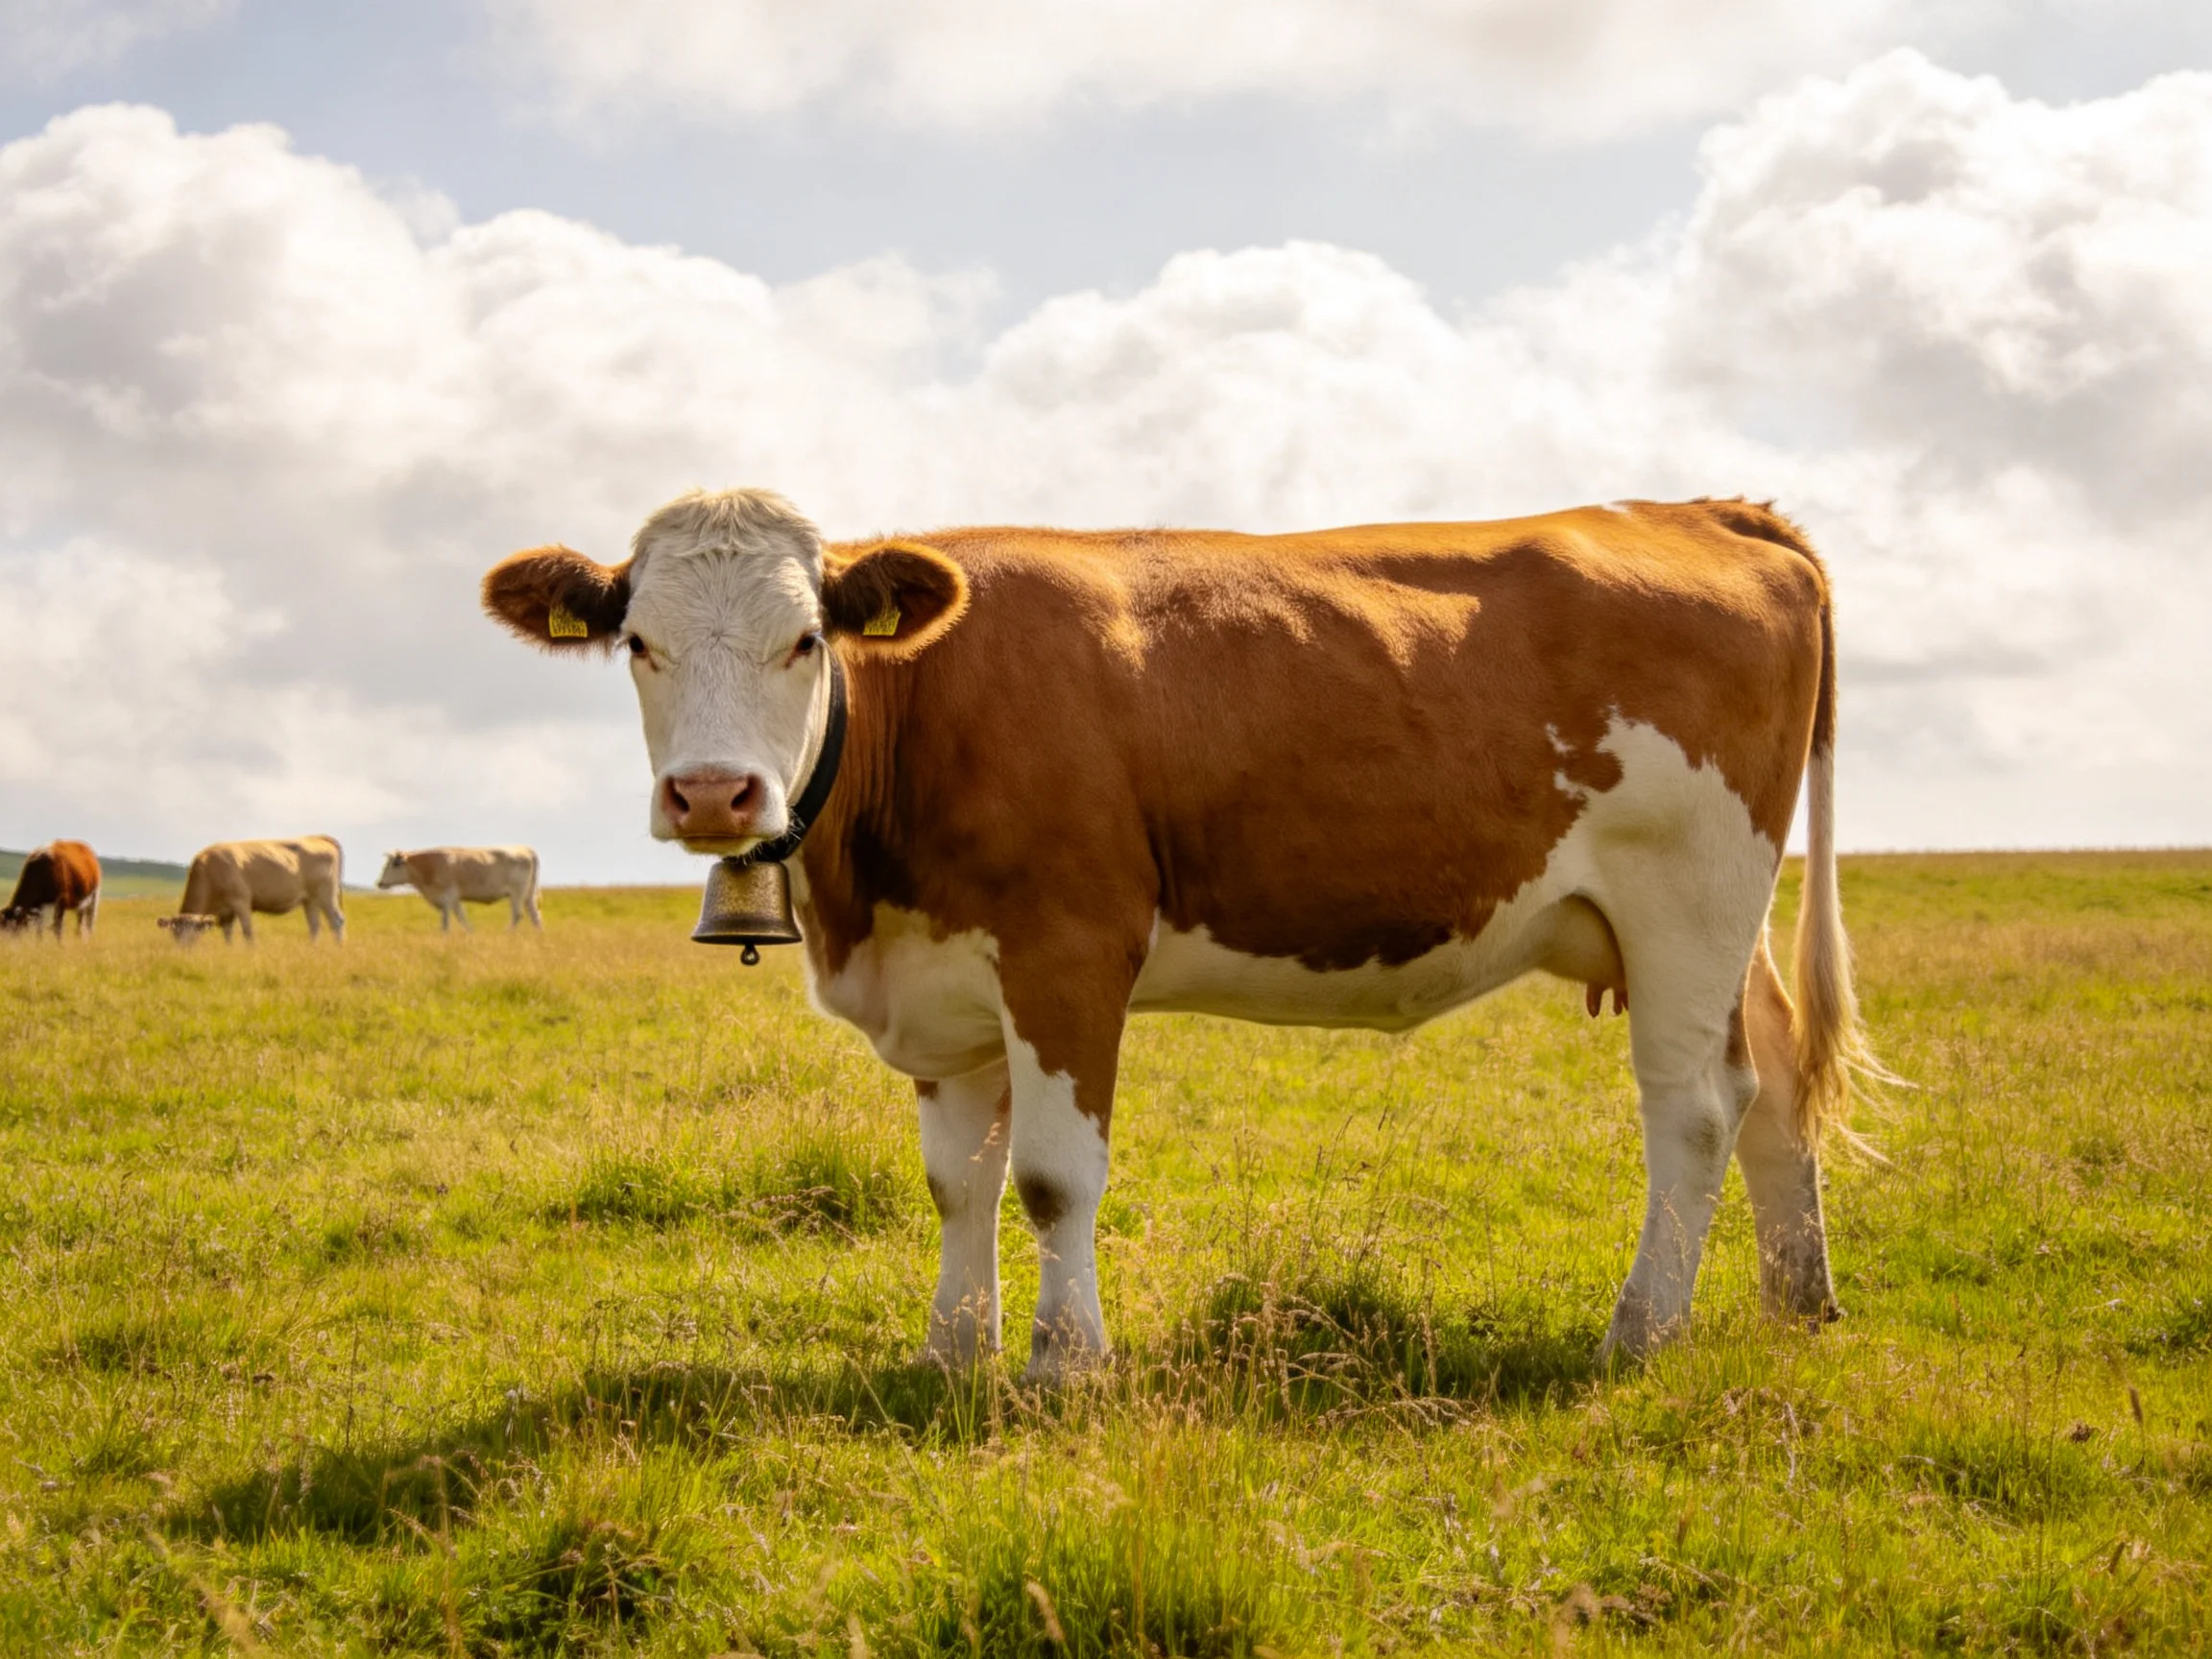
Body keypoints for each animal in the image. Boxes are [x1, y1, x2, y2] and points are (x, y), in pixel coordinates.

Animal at [158, 837, 345, 944]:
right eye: (175, 934)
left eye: (192, 936)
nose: (184, 952)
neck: (210, 871)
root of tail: (318, 838)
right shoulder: (225, 912)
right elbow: (227, 935)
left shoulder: (241, 901)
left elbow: (248, 932)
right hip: (310, 900)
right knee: (314, 926)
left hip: (325, 895)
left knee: (337, 922)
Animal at [376, 846, 542, 930]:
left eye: (395, 864)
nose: (380, 883)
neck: (430, 865)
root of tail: (525, 850)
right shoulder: (454, 900)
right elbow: (462, 918)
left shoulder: (447, 898)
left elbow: (447, 923)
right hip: (528, 896)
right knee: (535, 916)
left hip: (517, 894)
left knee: (517, 915)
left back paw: (506, 934)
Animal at [483, 488, 1875, 1380]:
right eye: (640, 643)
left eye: (806, 639)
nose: (715, 796)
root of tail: (1694, 509)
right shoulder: (945, 988)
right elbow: (958, 1179)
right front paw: (951, 1354)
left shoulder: (1067, 952)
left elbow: (1051, 1177)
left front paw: (1064, 1366)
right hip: (1716, 921)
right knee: (1770, 1081)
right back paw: (1796, 1303)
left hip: (1685, 892)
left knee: (1694, 1106)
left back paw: (1641, 1331)